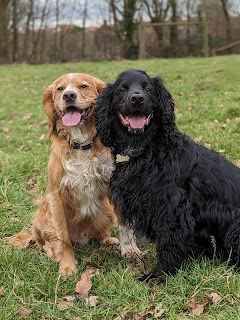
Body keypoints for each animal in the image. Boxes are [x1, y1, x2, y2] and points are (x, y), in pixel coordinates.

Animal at [95, 70, 240, 280]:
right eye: (122, 89)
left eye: (148, 89)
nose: (137, 98)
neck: (144, 150)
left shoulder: (172, 209)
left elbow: (167, 246)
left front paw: (158, 276)